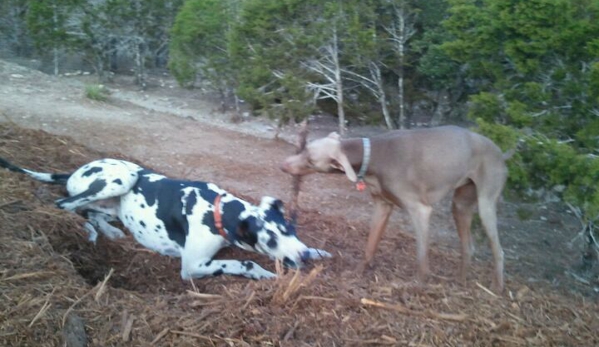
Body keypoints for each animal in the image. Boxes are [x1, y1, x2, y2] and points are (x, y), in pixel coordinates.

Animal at [0, 158, 330, 280]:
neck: (217, 211)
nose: (303, 257)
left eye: (290, 228)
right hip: (121, 178)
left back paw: (108, 230)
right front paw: (262, 273)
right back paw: (90, 232)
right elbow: (244, 262)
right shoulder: (192, 266)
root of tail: (74, 171)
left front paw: (317, 251)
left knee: (89, 211)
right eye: (270, 240)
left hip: (114, 200)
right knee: (65, 205)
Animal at [280, 126, 510, 292]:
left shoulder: (420, 210)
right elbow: (370, 246)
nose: (284, 165)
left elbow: (421, 257)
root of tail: (501, 152)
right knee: (468, 246)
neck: (371, 156)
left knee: (498, 249)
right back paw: (461, 281)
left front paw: (417, 285)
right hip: (461, 205)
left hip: (486, 202)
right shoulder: (382, 206)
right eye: (305, 148)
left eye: (311, 160)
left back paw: (496, 288)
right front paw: (356, 273)